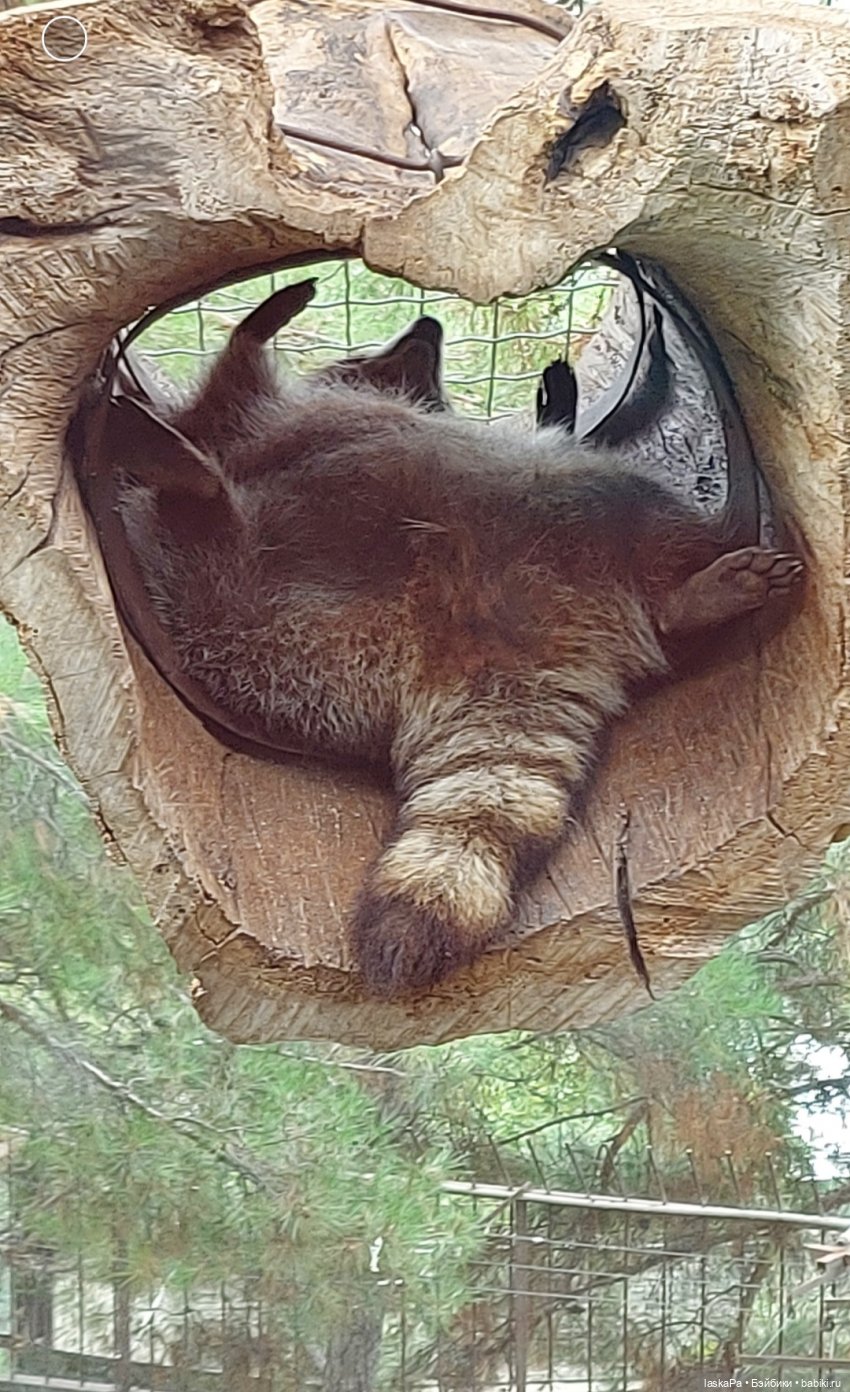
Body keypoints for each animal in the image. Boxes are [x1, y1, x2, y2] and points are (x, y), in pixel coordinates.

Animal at [109, 277, 801, 996]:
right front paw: (254, 329)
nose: (429, 325)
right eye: (379, 351)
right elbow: (232, 388)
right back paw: (195, 490)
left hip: (316, 644)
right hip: (307, 619)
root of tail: (483, 643)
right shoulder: (260, 418)